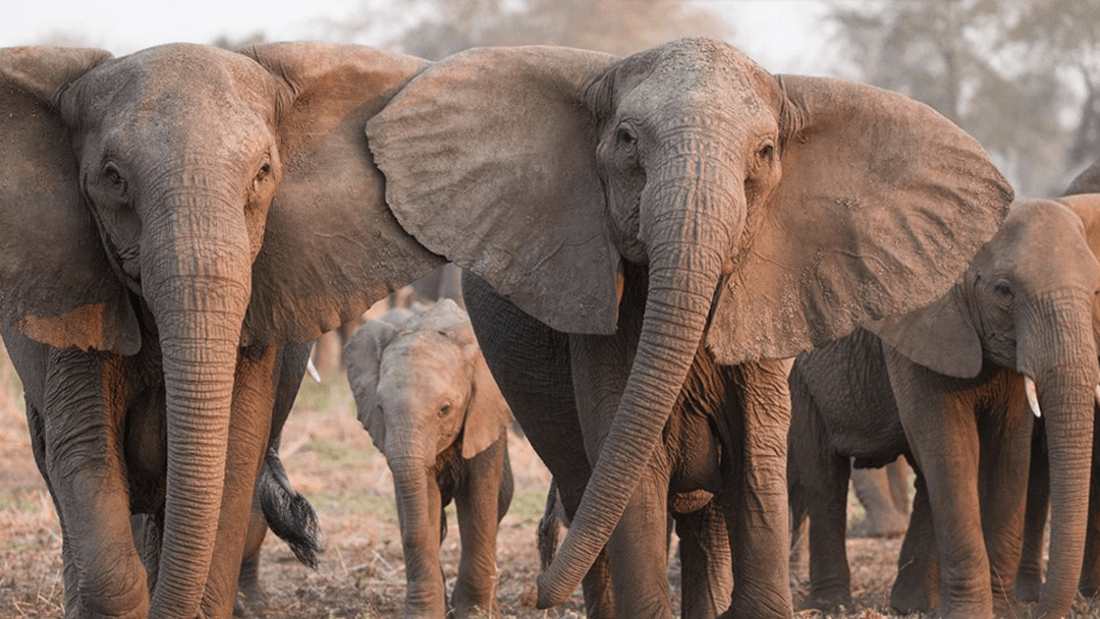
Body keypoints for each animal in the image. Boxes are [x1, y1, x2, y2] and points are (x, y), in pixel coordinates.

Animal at [345, 299, 512, 615]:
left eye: (444, 409)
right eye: (380, 408)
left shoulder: (485, 415)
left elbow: (479, 499)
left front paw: (475, 613)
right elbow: (421, 498)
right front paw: (425, 613)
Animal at [369, 39, 1012, 619]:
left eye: (765, 151)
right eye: (626, 140)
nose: (534, 594)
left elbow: (757, 454)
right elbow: (632, 460)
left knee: (705, 518)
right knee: (588, 487)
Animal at [787, 200, 1100, 619]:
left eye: (1095, 291)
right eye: (1004, 291)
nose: (1038, 608)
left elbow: (1008, 452)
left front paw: (1001, 610)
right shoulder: (917, 323)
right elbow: (951, 450)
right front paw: (975, 613)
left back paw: (912, 604)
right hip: (798, 374)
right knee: (824, 477)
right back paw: (831, 605)